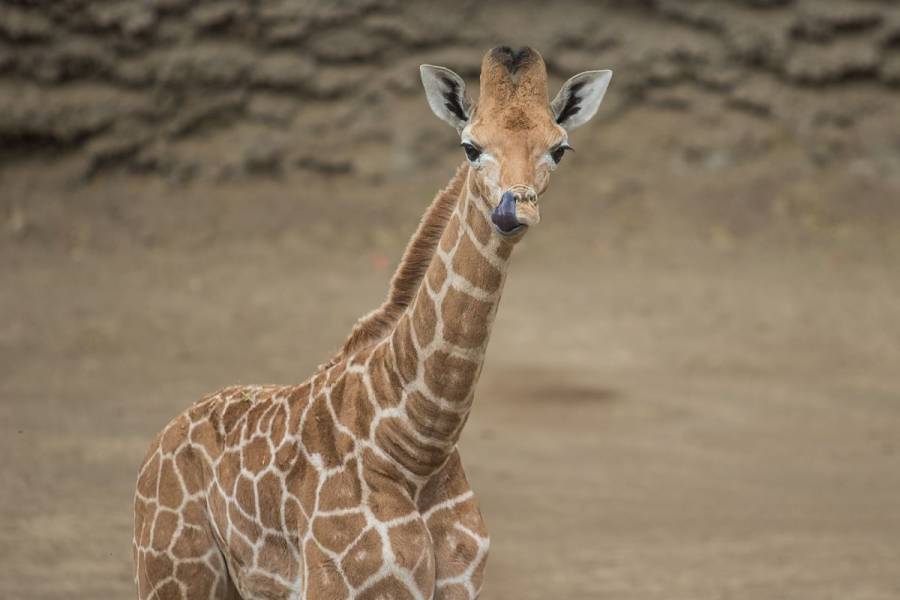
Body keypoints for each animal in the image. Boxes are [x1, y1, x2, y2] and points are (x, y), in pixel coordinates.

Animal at [134, 48, 612, 600]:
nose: (515, 209)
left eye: (560, 149)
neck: (416, 444)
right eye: (470, 147)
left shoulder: (460, 586)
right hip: (173, 573)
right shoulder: (340, 585)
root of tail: (158, 442)